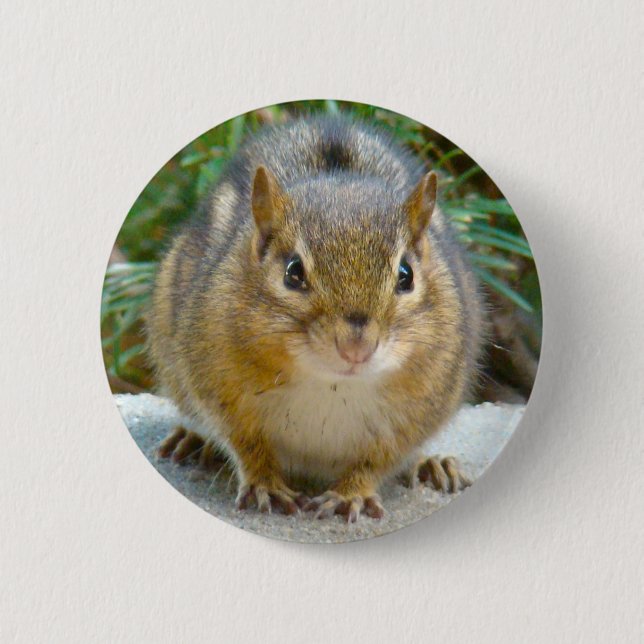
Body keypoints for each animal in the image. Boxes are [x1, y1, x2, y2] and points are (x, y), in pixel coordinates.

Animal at [147, 114, 486, 522]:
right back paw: (193, 440)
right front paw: (265, 484)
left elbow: (378, 459)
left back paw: (432, 465)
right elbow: (246, 443)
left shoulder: (421, 407)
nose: (356, 348)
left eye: (406, 275)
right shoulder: (218, 385)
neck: (331, 384)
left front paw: (350, 494)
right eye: (293, 272)